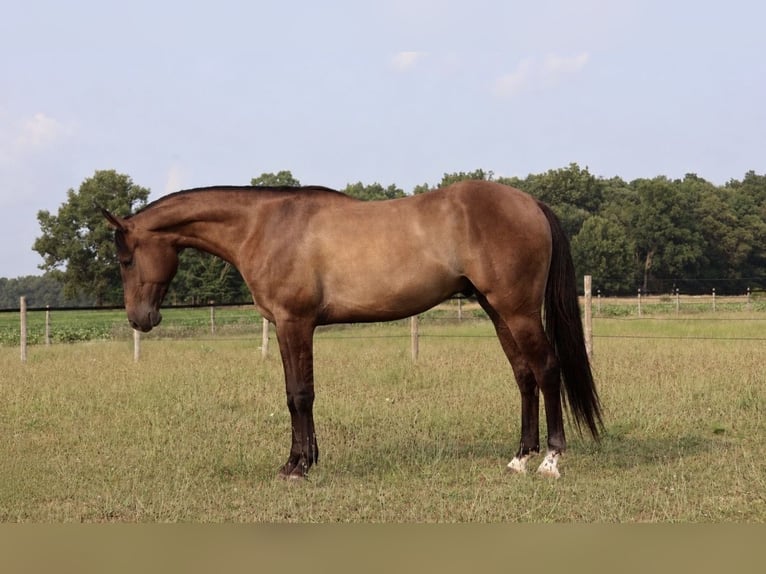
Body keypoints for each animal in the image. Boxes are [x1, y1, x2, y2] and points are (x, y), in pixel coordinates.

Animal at [101, 180, 602, 479]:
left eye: (125, 259)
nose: (140, 319)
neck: (265, 227)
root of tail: (529, 202)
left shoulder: (294, 323)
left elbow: (299, 395)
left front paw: (296, 466)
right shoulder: (290, 327)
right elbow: (297, 393)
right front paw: (306, 458)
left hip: (517, 310)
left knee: (547, 368)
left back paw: (551, 459)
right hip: (497, 310)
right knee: (524, 375)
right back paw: (520, 457)